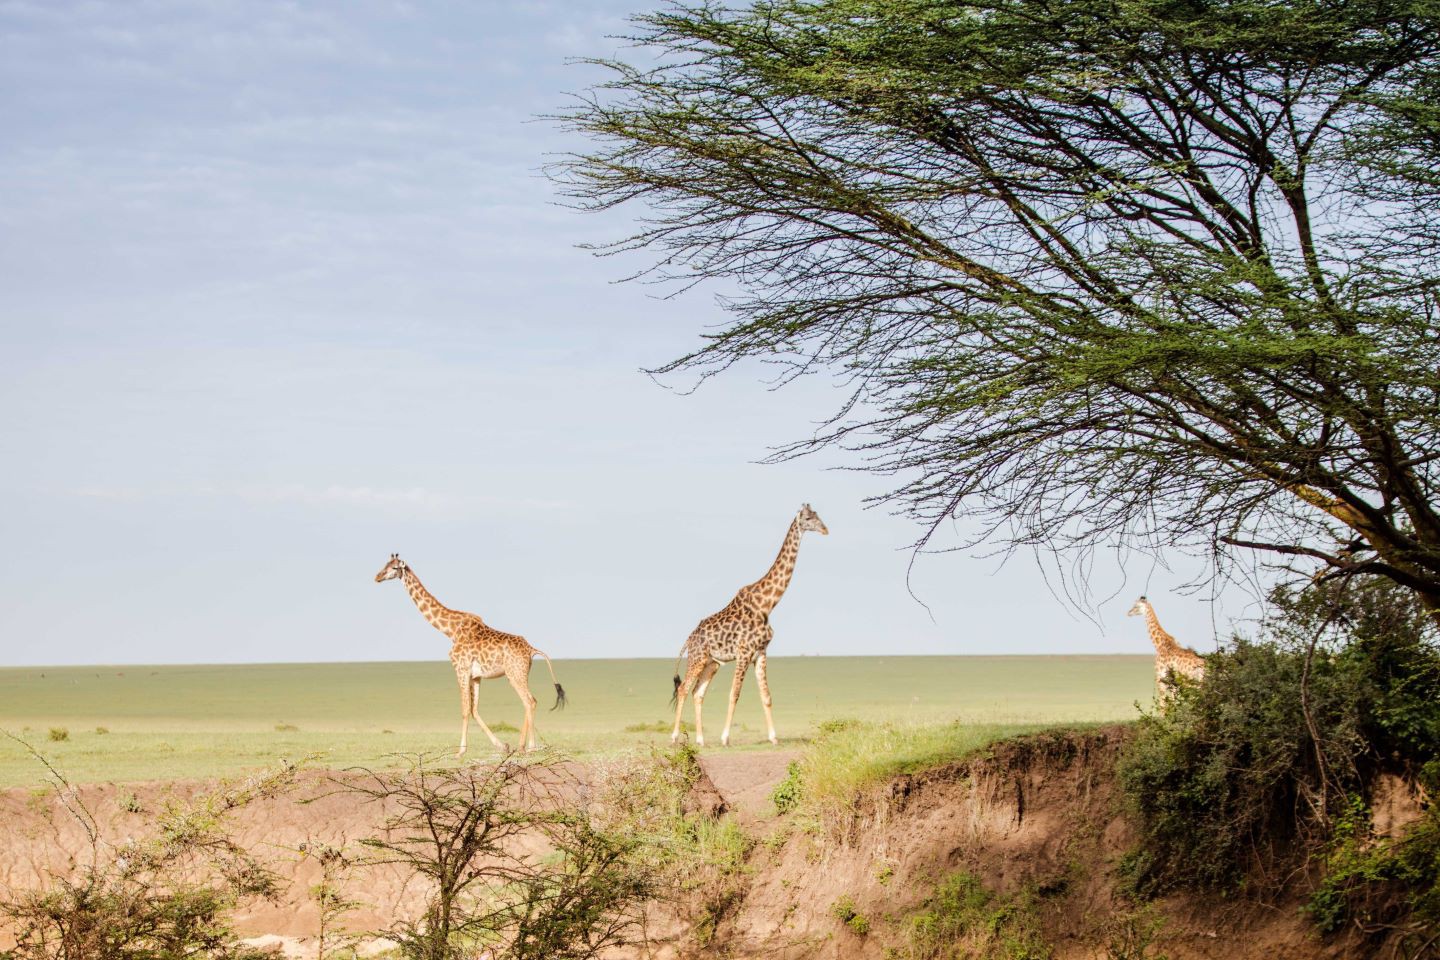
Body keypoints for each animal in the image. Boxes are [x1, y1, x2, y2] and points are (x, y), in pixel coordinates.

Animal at [374, 555, 564, 759]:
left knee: (529, 701)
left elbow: (465, 710)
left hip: (515, 674)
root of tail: (531, 649)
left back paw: (527, 747)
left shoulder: (461, 669)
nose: (377, 577)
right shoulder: (476, 676)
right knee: (529, 701)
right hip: (519, 674)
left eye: (394, 568)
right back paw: (525, 746)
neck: (450, 630)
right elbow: (474, 709)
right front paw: (502, 746)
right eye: (384, 565)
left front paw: (460, 752)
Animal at [668, 503, 829, 748]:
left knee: (698, 692)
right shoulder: (744, 652)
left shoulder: (760, 652)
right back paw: (675, 737)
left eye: (818, 515)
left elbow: (766, 696)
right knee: (684, 688)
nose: (825, 530)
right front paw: (725, 738)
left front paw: (774, 738)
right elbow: (734, 694)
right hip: (697, 658)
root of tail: (689, 638)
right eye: (809, 518)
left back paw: (701, 740)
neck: (767, 605)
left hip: (712, 663)